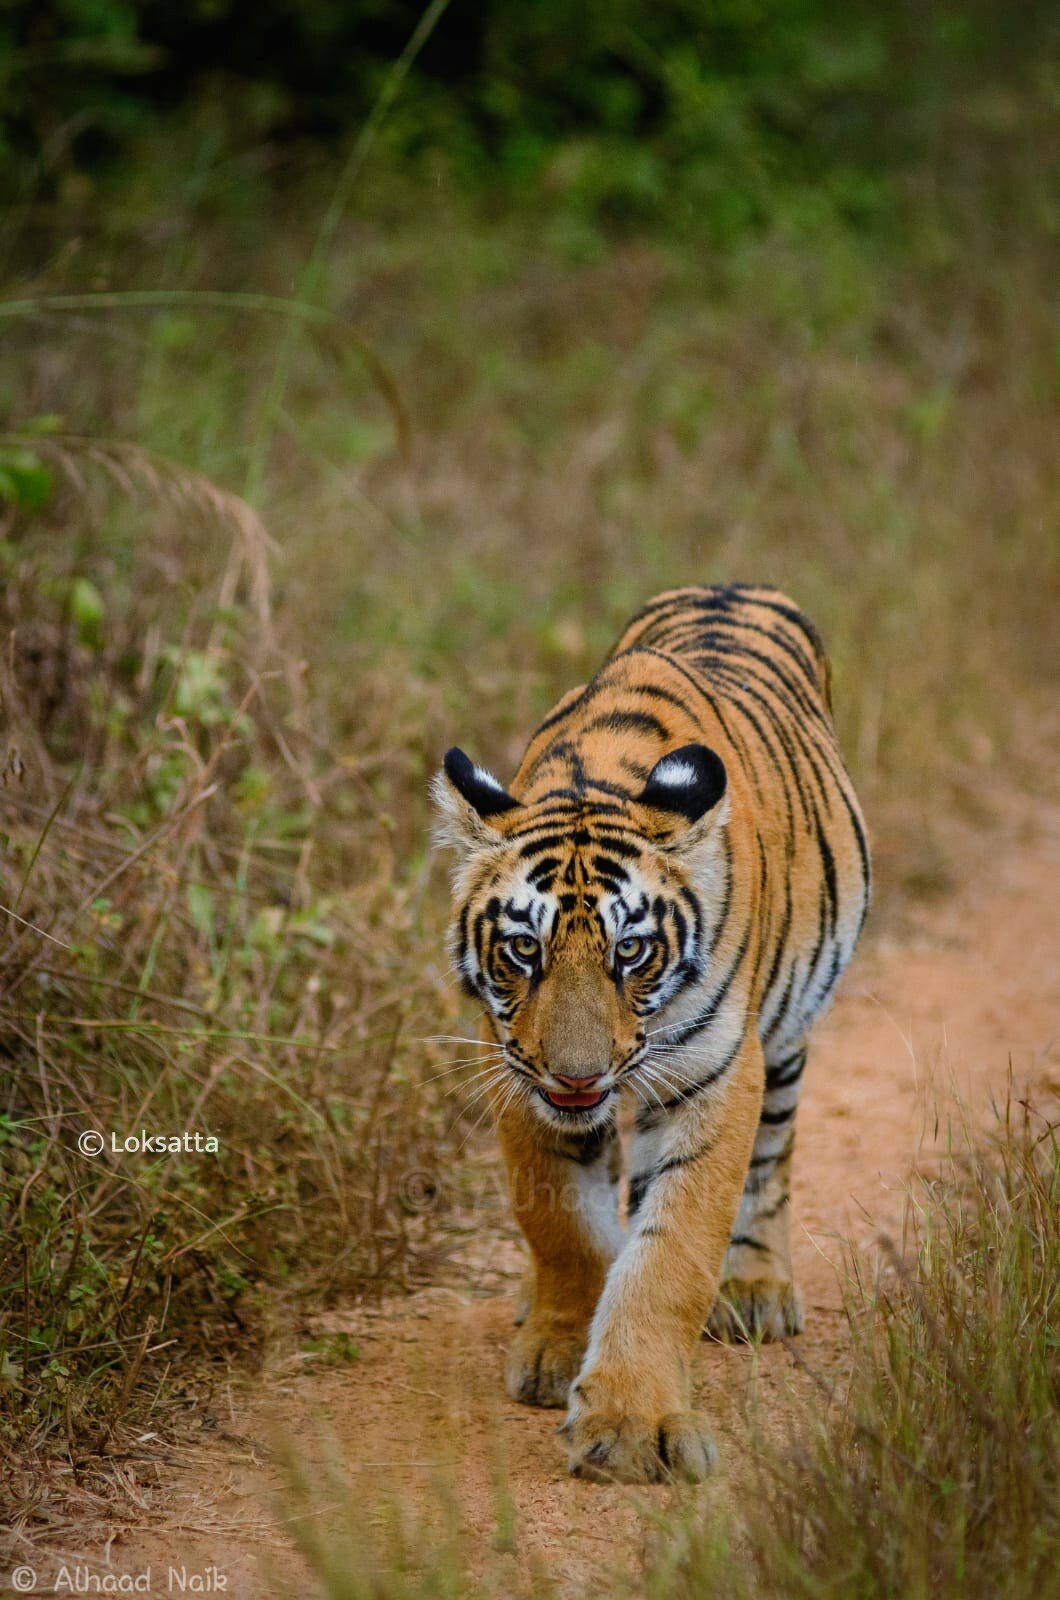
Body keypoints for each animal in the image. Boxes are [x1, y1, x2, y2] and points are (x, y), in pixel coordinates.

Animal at [432, 588, 871, 1484]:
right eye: (523, 949)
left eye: (630, 951)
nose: (576, 1076)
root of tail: (734, 585)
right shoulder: (516, 1074)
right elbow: (563, 1224)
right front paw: (561, 1347)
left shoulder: (716, 1072)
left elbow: (670, 1255)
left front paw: (634, 1426)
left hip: (785, 1045)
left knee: (772, 1161)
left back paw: (756, 1288)